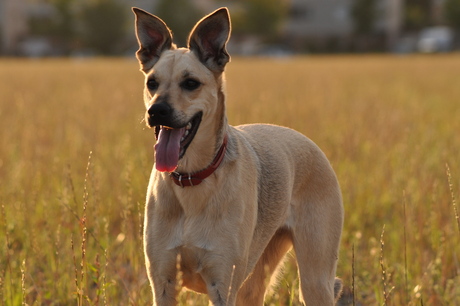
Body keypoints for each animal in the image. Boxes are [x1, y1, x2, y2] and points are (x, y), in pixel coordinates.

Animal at [132, 7, 342, 306]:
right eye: (152, 83)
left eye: (190, 83)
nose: (156, 111)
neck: (192, 178)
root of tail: (308, 141)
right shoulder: (163, 282)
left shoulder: (222, 283)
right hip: (254, 280)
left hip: (315, 279)